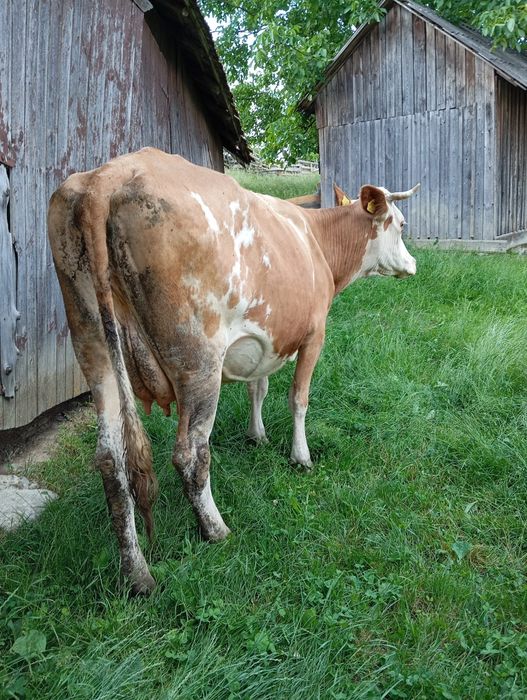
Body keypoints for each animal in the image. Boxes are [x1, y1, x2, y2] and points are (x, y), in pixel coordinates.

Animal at [48, 147, 419, 594]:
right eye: (401, 225)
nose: (414, 264)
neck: (317, 243)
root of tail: (109, 174)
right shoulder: (315, 332)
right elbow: (298, 398)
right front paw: (300, 457)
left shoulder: (266, 340)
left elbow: (258, 388)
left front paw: (256, 435)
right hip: (198, 360)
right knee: (190, 453)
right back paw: (215, 529)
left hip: (92, 345)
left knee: (111, 460)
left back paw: (137, 573)